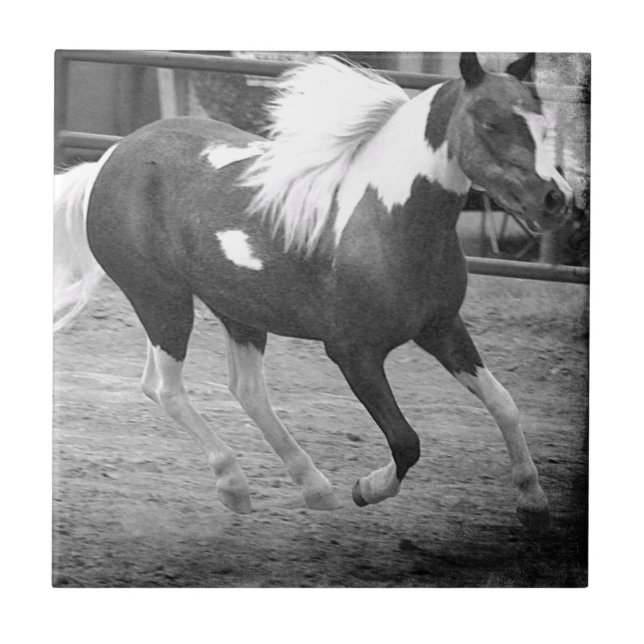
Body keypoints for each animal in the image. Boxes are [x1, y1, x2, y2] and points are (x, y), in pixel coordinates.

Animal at [54, 52, 572, 528]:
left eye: (543, 123)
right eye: (489, 122)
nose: (557, 199)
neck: (385, 221)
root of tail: (106, 161)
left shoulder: (442, 328)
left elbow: (504, 404)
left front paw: (532, 499)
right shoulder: (353, 353)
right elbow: (406, 441)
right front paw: (366, 488)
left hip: (235, 310)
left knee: (242, 389)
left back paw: (314, 486)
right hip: (161, 300)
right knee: (166, 388)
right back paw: (236, 485)